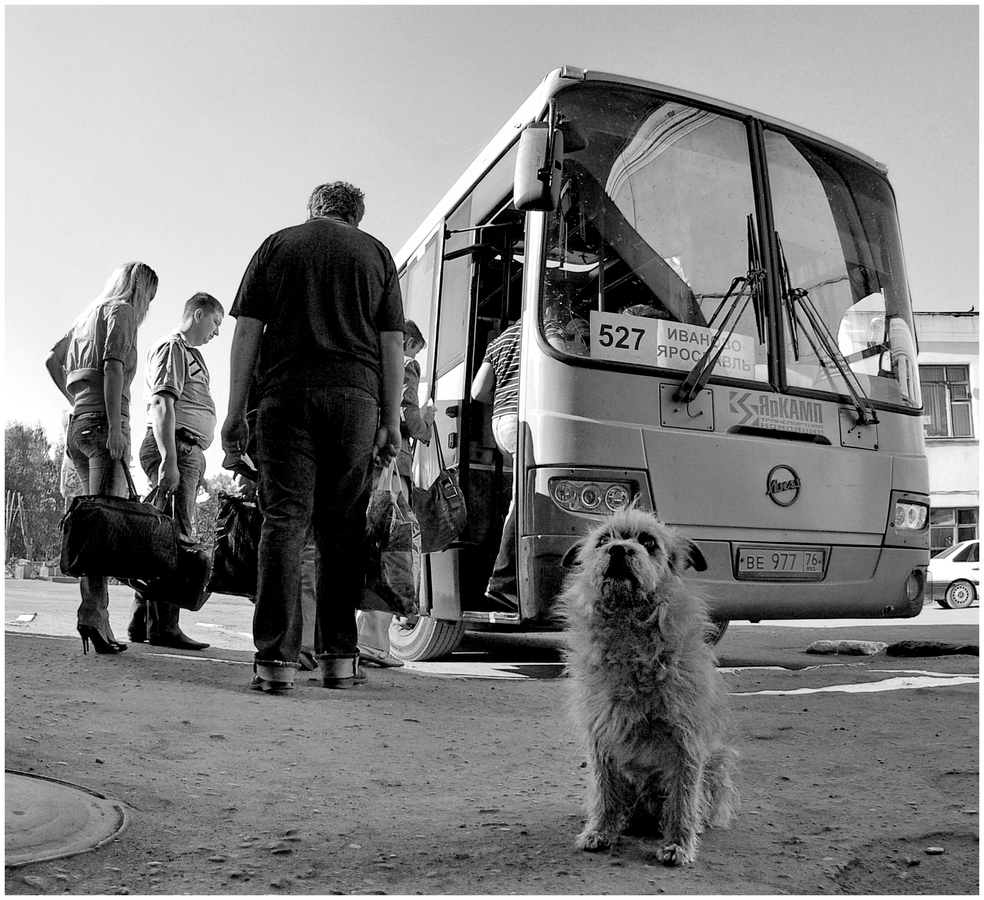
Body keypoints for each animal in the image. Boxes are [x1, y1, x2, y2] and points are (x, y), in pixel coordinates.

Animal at [560, 506, 736, 864]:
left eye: (649, 542)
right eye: (603, 540)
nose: (618, 550)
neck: (629, 627)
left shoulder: (686, 741)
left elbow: (683, 798)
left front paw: (679, 843)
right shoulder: (601, 735)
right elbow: (605, 790)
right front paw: (600, 830)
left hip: (719, 760)